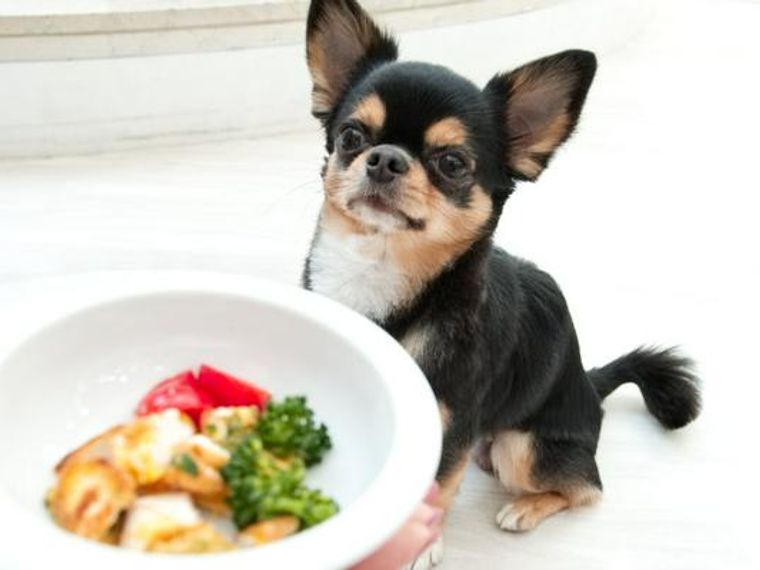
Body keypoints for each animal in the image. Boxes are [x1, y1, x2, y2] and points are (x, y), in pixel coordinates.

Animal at [302, 0, 700, 564]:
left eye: (452, 163)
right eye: (352, 137)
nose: (385, 158)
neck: (383, 271)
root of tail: (589, 385)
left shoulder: (450, 422)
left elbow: (437, 484)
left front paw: (420, 545)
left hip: (523, 446)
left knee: (588, 487)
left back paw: (527, 508)